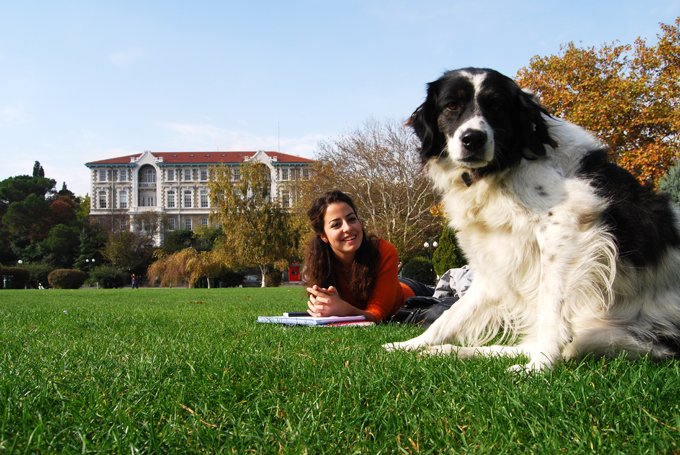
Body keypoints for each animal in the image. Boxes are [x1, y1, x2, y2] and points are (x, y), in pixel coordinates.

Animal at [386, 68, 680, 374]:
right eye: (452, 105)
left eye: (497, 106)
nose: (473, 138)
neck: (505, 167)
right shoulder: (496, 265)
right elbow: (453, 314)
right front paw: (411, 344)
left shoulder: (568, 235)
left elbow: (553, 310)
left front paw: (540, 367)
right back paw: (450, 351)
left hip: (609, 335)